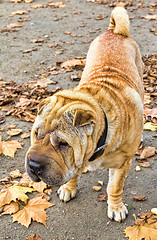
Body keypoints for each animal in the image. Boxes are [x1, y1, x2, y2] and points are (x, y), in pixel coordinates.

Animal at [25, 5, 144, 222]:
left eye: (63, 144)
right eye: (36, 134)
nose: (33, 165)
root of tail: (115, 31)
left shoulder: (122, 164)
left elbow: (114, 187)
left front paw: (116, 207)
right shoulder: (75, 161)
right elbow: (73, 173)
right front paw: (68, 188)